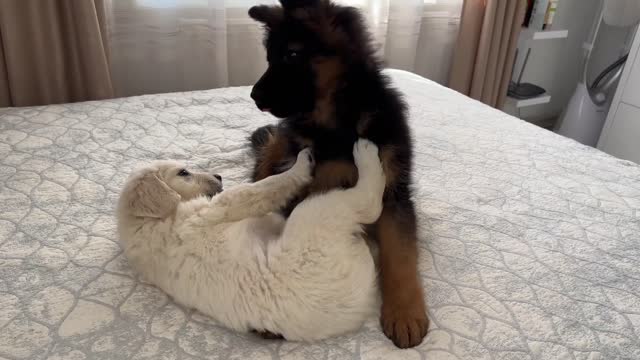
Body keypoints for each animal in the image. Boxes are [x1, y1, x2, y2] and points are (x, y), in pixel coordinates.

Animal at [248, 0, 428, 348]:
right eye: (269, 57)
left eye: (292, 54)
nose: (254, 97)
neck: (341, 122)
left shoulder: (395, 195)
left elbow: (400, 255)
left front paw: (405, 312)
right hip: (277, 149)